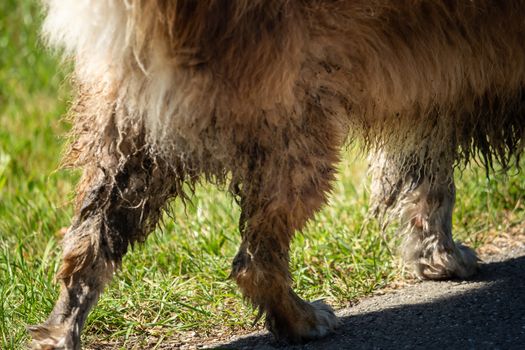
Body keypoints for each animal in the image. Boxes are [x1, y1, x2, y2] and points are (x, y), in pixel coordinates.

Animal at [29, 1, 524, 348]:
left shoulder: (435, 89)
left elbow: (428, 182)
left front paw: (439, 256)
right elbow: (431, 182)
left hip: (128, 140)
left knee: (86, 246)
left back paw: (58, 334)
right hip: (296, 132)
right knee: (255, 262)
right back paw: (302, 320)